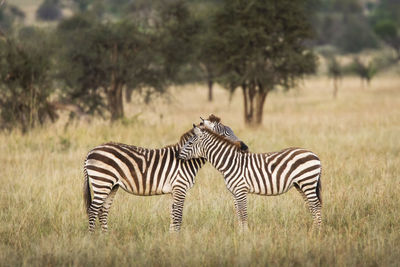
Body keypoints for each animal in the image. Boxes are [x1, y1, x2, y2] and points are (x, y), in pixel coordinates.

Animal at [84, 118, 247, 233]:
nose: (245, 147)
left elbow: (173, 214)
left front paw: (171, 237)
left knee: (103, 210)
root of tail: (91, 151)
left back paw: (106, 237)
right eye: (225, 133)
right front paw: (178, 239)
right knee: (93, 210)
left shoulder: (174, 190)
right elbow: (178, 215)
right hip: (102, 181)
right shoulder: (180, 187)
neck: (187, 159)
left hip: (112, 185)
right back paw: (93, 239)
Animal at [178, 125, 322, 232]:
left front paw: (245, 234)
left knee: (316, 204)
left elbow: (243, 213)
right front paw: (240, 233)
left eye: (189, 143)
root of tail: (314, 154)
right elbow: (238, 212)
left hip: (308, 182)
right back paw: (313, 229)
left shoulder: (241, 190)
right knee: (311, 205)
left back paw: (317, 231)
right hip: (301, 184)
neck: (230, 163)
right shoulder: (234, 192)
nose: (177, 155)